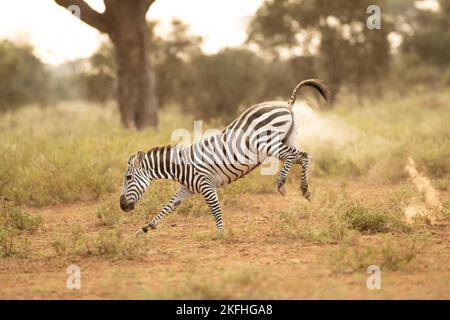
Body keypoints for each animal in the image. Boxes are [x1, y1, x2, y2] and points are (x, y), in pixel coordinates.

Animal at [119, 79, 328, 234]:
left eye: (128, 177)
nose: (122, 206)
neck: (180, 166)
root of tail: (286, 104)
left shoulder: (206, 185)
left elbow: (215, 209)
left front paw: (220, 233)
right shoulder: (186, 189)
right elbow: (167, 207)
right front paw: (145, 228)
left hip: (268, 143)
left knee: (297, 157)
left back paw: (282, 183)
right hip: (286, 139)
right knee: (302, 156)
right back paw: (303, 189)